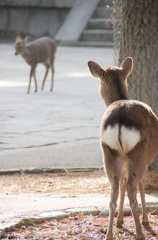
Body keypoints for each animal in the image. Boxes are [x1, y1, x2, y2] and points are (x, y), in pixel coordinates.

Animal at [87, 57, 158, 239]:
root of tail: (119, 120)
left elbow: (122, 185)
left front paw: (120, 221)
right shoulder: (146, 159)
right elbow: (141, 185)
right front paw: (145, 221)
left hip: (109, 152)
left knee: (114, 191)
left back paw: (109, 233)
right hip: (137, 151)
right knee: (133, 190)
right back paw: (140, 233)